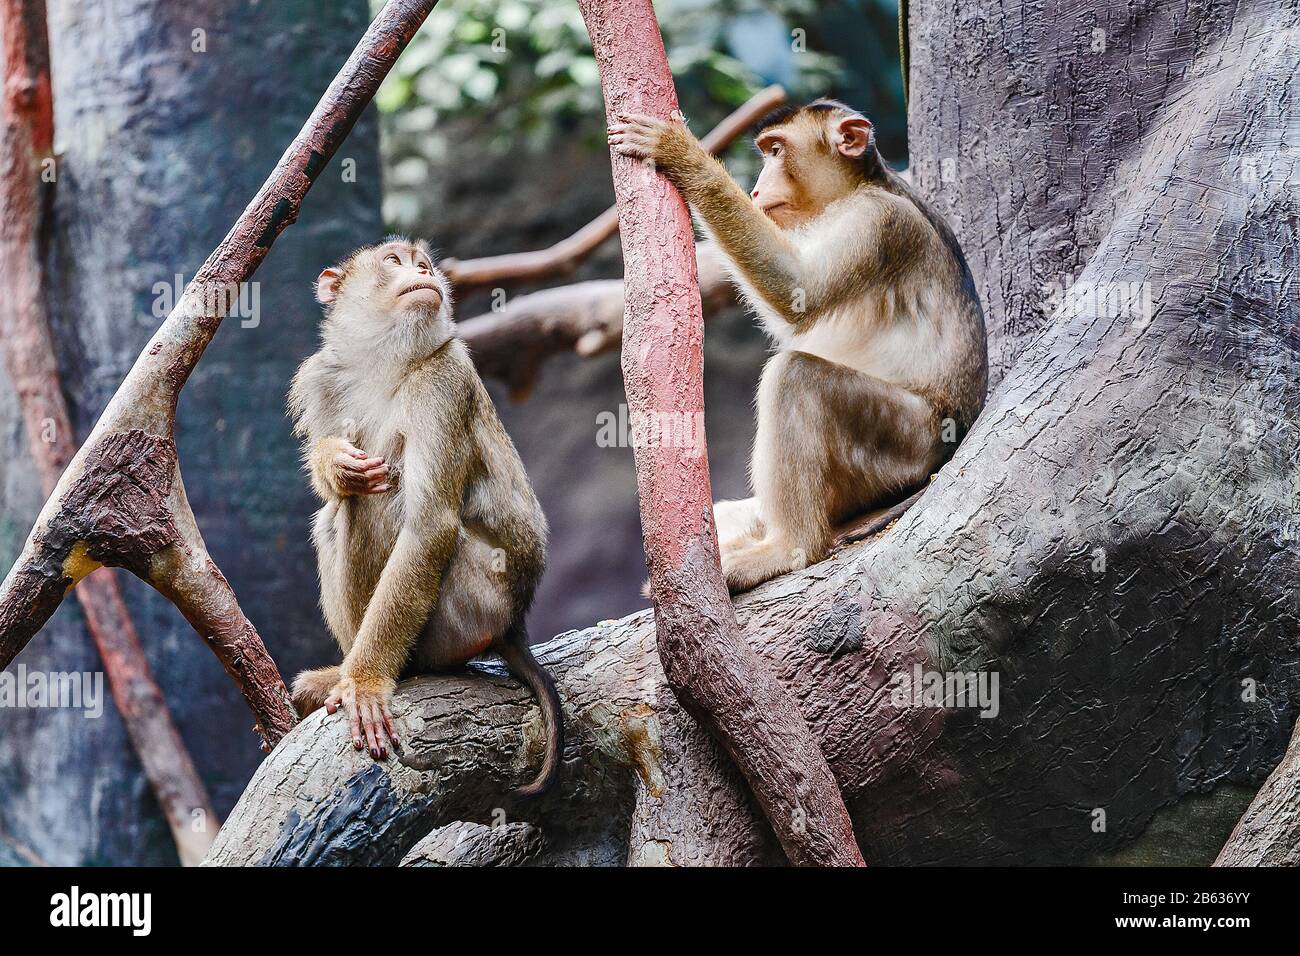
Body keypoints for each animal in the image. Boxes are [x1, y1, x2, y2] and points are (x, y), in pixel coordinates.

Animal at [289, 240, 564, 801]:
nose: (422, 273)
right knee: (340, 511)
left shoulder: (443, 379)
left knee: (381, 504)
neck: (384, 361)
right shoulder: (322, 379)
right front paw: (332, 461)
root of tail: (514, 624)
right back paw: (340, 670)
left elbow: (430, 527)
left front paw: (366, 683)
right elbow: (335, 482)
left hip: (474, 609)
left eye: (423, 263)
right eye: (395, 261)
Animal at [608, 97, 982, 590]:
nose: (755, 190)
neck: (862, 186)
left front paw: (681, 152)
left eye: (776, 150)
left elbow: (797, 290)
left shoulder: (878, 221)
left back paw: (789, 548)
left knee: (797, 376)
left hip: (908, 442)